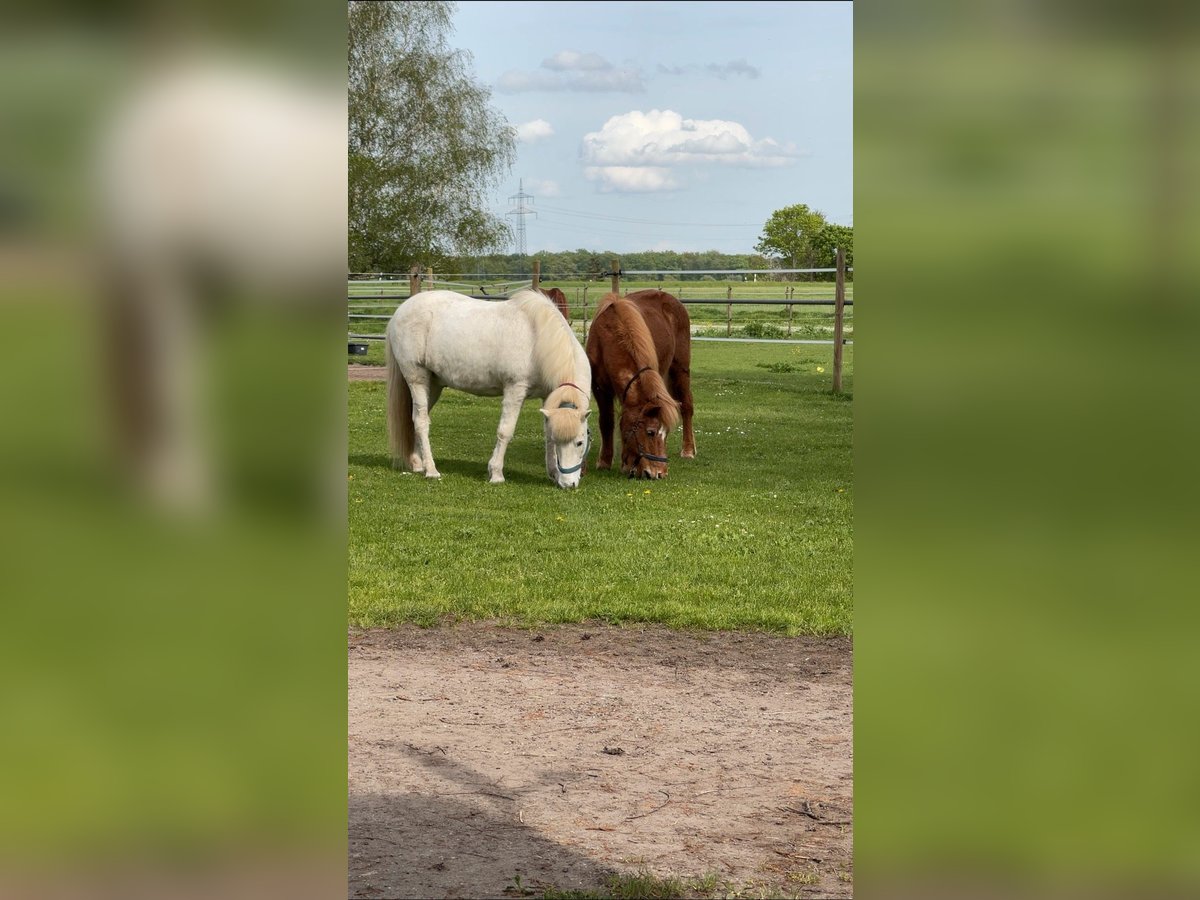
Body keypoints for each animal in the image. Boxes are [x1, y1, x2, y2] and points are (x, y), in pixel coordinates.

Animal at [384, 290, 590, 489]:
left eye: (580, 442)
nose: (568, 484)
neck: (540, 340)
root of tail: (400, 311)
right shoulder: (515, 389)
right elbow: (505, 431)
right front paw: (496, 474)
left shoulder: (548, 397)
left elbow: (547, 435)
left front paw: (553, 473)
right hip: (417, 379)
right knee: (421, 422)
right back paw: (431, 470)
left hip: (433, 385)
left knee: (417, 418)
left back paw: (418, 463)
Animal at [583, 292, 696, 482]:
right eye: (650, 432)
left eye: (664, 433)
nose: (660, 473)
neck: (609, 336)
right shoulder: (599, 388)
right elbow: (607, 421)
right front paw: (605, 461)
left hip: (680, 369)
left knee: (686, 406)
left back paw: (688, 450)